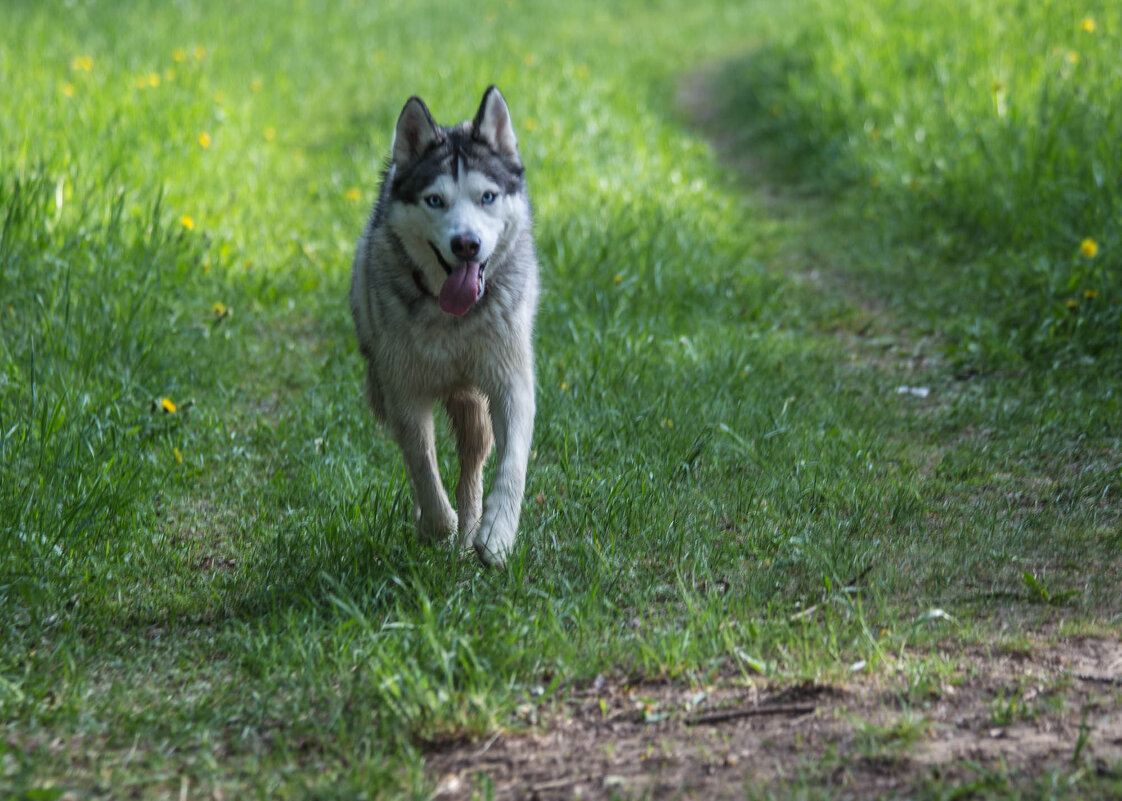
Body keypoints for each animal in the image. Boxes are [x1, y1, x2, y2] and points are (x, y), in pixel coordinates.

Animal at [352, 85, 540, 560]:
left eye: (487, 197)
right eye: (435, 200)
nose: (466, 244)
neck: (454, 319)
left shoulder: (511, 382)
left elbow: (513, 462)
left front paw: (496, 533)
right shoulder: (403, 391)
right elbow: (421, 461)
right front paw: (438, 524)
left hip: (474, 406)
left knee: (472, 464)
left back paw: (473, 527)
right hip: (381, 386)